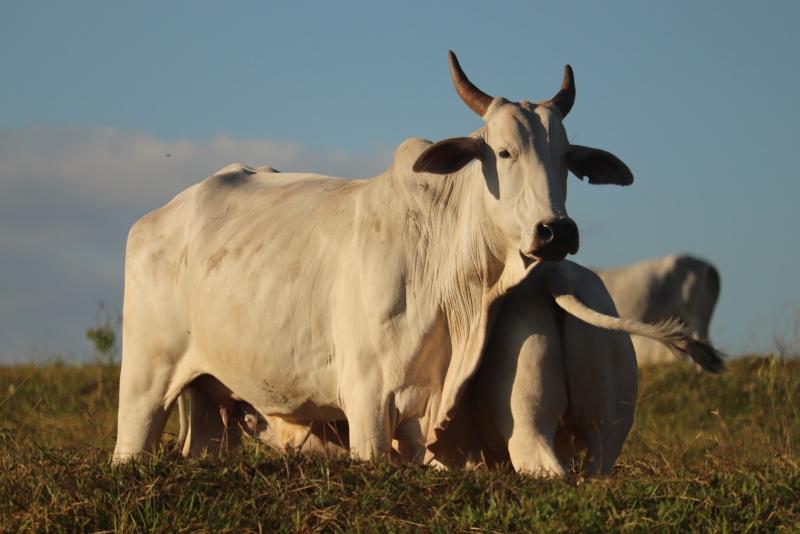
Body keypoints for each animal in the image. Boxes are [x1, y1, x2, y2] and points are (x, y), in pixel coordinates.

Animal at [112, 52, 636, 466]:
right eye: (504, 152)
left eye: (566, 157)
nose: (555, 231)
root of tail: (159, 216)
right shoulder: (367, 401)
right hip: (144, 383)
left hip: (206, 397)